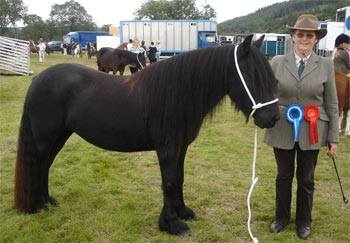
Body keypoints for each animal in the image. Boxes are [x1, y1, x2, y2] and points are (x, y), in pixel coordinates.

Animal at [15, 35, 278, 236]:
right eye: (253, 77)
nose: (273, 118)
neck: (177, 94)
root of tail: (37, 80)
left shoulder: (180, 147)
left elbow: (179, 179)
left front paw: (183, 212)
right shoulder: (167, 148)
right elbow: (169, 183)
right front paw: (172, 224)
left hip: (60, 136)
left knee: (45, 166)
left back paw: (47, 201)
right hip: (45, 137)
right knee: (39, 165)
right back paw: (38, 206)